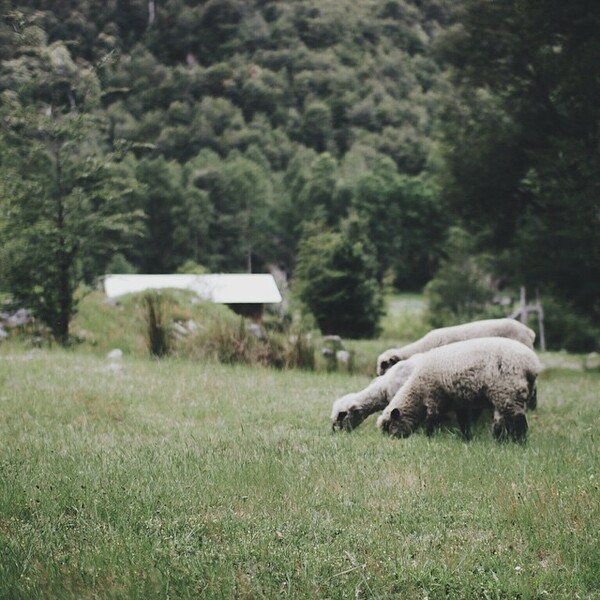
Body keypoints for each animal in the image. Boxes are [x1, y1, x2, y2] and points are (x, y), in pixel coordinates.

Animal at [378, 336, 540, 442]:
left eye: (389, 425)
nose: (392, 440)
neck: (417, 390)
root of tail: (532, 364)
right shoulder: (458, 401)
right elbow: (463, 421)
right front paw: (467, 438)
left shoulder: (433, 396)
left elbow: (432, 418)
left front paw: (428, 436)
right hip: (505, 393)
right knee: (502, 418)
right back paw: (500, 440)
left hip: (507, 389)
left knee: (518, 418)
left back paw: (520, 442)